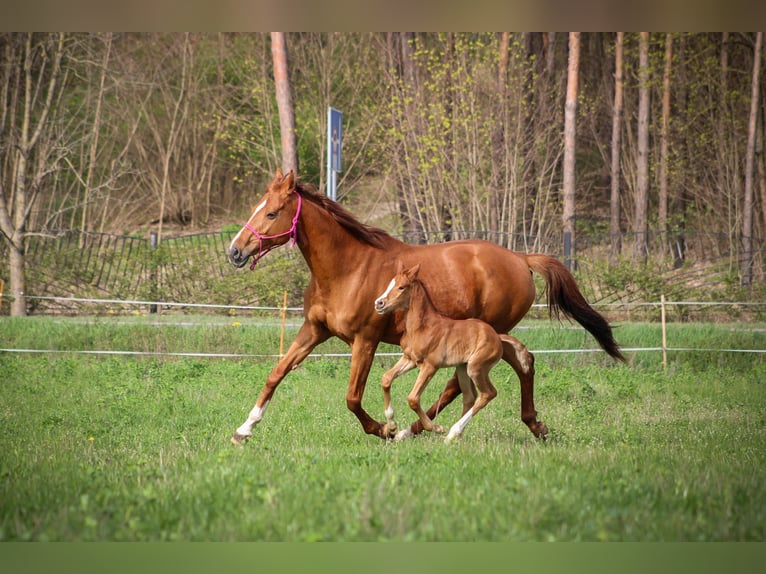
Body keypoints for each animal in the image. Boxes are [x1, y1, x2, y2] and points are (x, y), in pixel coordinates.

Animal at [374, 266, 528, 446]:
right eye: (390, 284)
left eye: (401, 287)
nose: (379, 303)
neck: (422, 327)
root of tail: (497, 336)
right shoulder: (409, 359)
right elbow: (386, 379)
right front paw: (392, 426)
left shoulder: (430, 366)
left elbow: (413, 398)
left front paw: (437, 428)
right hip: (462, 368)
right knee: (470, 397)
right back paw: (455, 436)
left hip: (476, 368)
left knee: (488, 394)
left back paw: (451, 433)